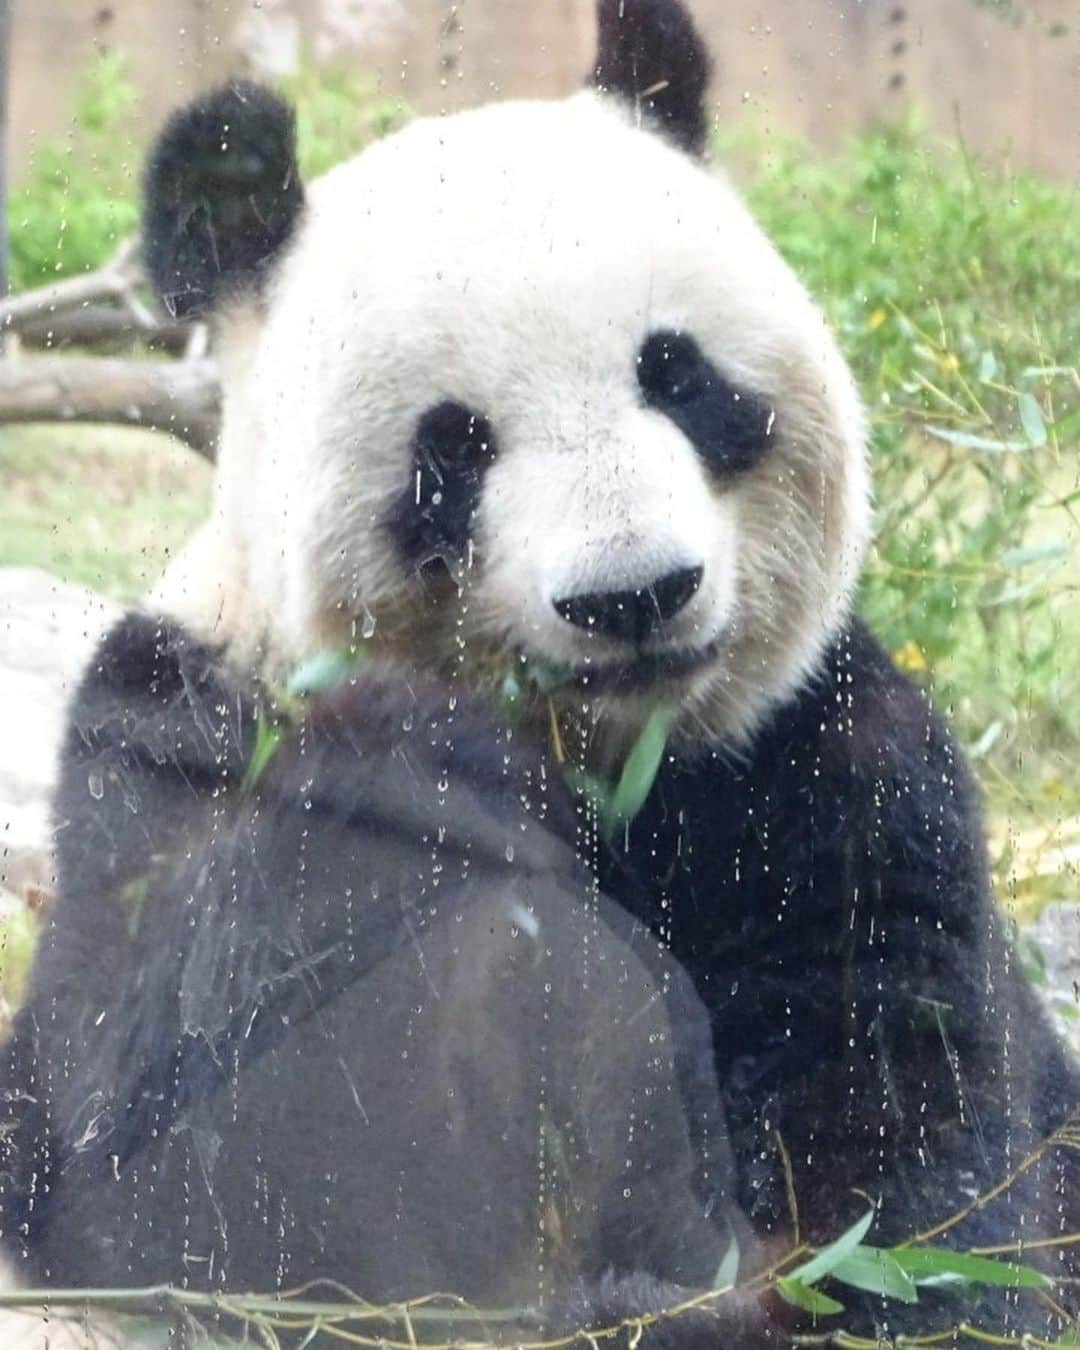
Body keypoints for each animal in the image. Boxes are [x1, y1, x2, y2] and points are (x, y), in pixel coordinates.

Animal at [2, 0, 1080, 1344]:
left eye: (677, 373)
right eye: (453, 449)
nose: (634, 596)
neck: (612, 756)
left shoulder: (815, 758)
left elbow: (904, 1126)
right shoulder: (166, 724)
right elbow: (146, 1124)